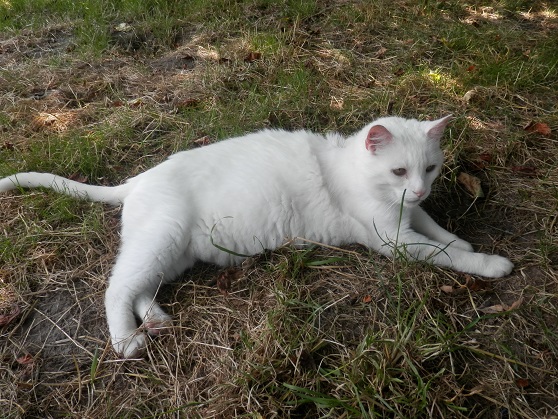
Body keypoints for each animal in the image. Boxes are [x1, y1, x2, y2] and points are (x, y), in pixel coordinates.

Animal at [0, 115, 516, 358]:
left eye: (430, 167)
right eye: (398, 171)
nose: (421, 188)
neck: (351, 171)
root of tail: (137, 179)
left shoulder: (409, 219)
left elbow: (437, 229)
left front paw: (461, 239)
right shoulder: (395, 240)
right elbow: (443, 253)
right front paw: (489, 263)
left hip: (172, 252)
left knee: (140, 286)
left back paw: (159, 320)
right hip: (162, 240)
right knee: (116, 287)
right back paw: (127, 340)